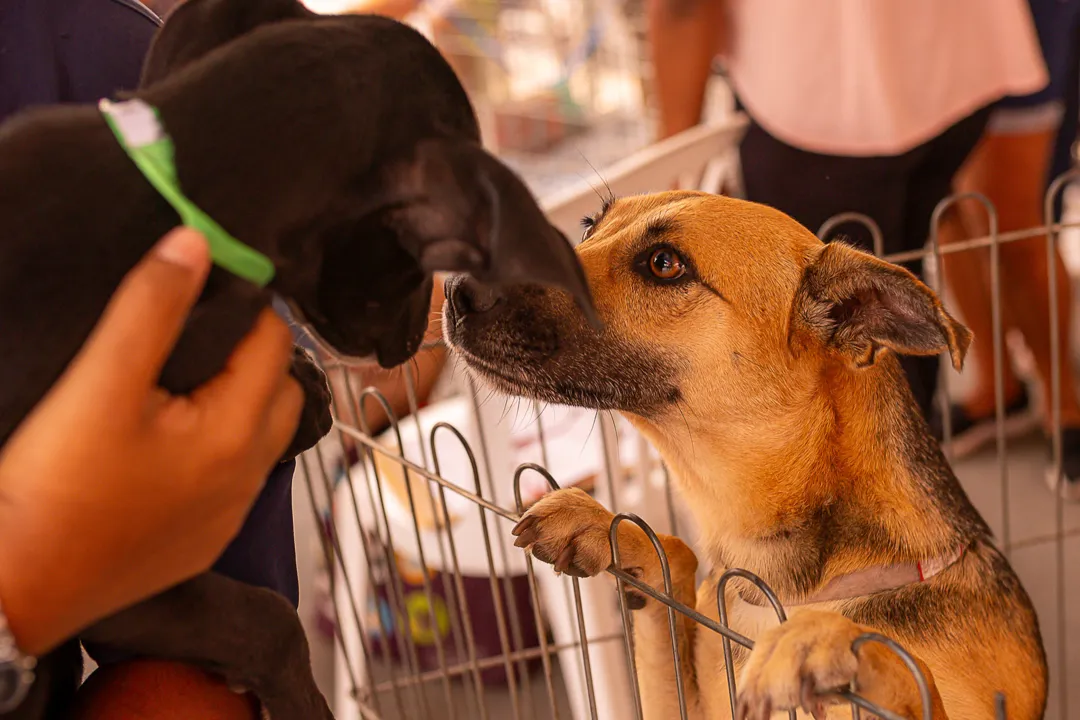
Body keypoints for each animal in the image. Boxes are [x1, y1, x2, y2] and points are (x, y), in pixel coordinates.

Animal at [0, 0, 591, 716]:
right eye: (421, 255)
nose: (413, 341)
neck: (183, 189)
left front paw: (307, 394)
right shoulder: (112, 568)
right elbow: (269, 620)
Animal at [440, 191, 1045, 720]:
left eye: (664, 264)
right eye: (590, 225)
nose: (452, 289)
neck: (775, 577)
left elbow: (901, 666)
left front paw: (828, 641)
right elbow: (674, 553)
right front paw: (605, 526)